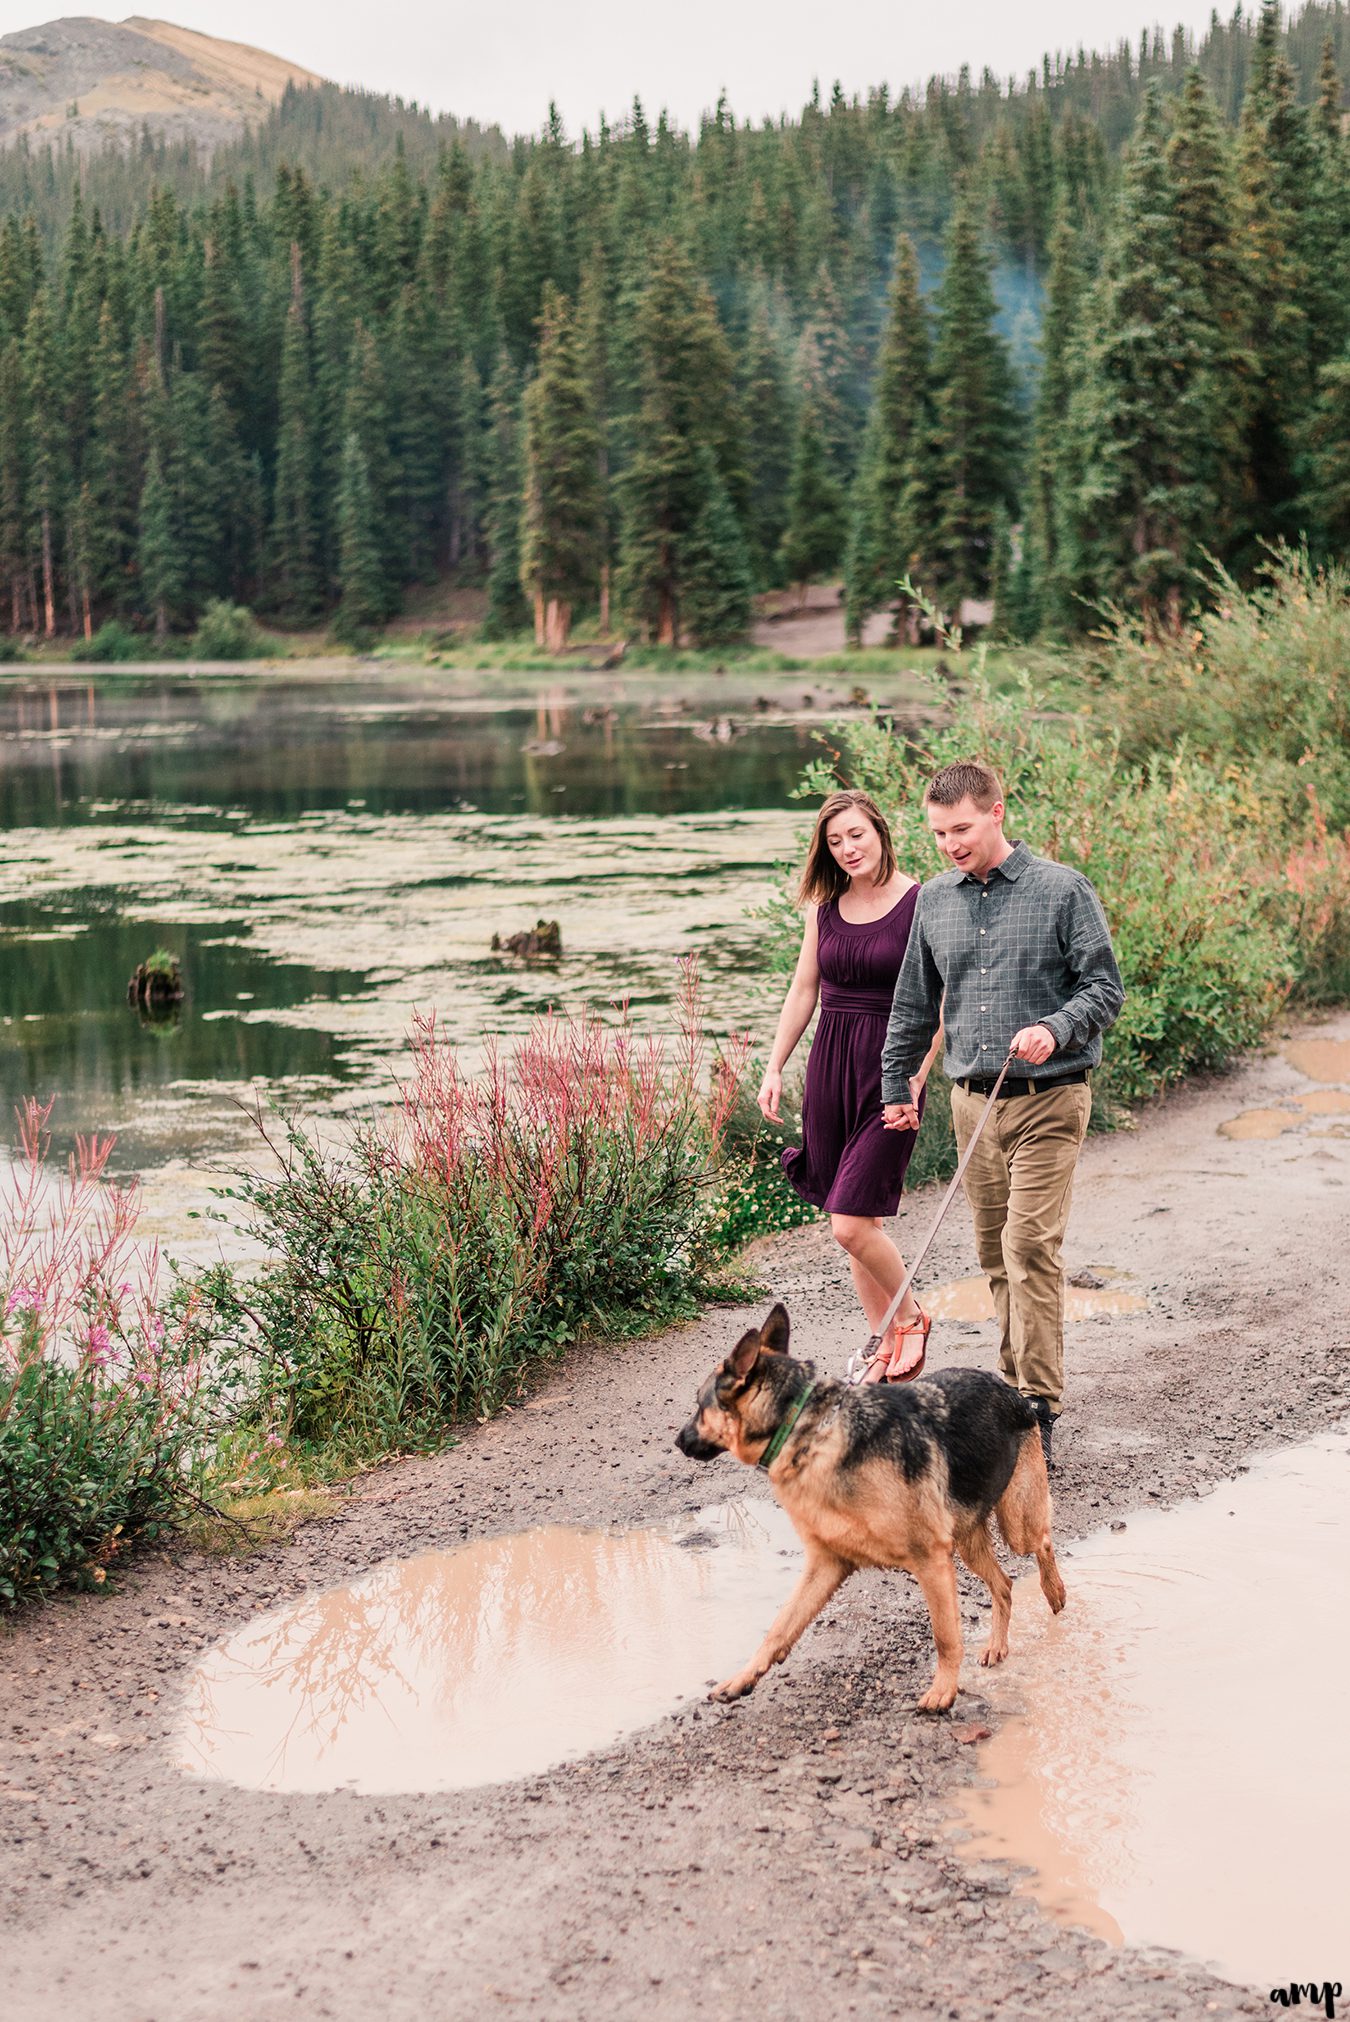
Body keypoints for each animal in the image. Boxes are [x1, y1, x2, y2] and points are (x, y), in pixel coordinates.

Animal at [675, 1302, 1067, 1714]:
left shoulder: (930, 1561)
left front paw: (943, 1690)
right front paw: (742, 1679)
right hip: (968, 1543)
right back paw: (997, 1644)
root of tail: (1012, 1391)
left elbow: (945, 1637)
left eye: (699, 1407)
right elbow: (780, 1628)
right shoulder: (826, 1565)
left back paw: (1054, 1591)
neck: (807, 1428)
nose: (677, 1441)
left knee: (1042, 1541)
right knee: (1004, 1585)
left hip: (1016, 1524)